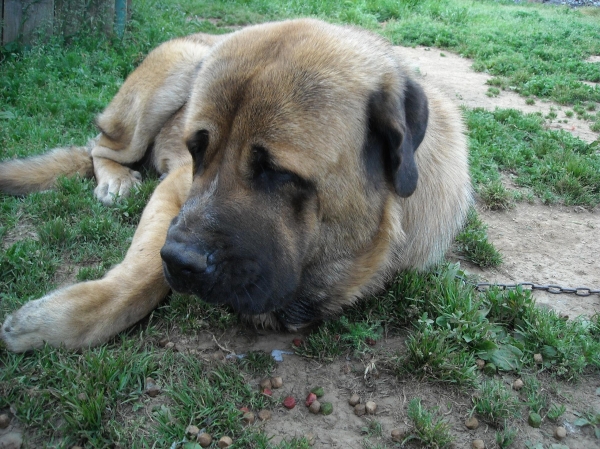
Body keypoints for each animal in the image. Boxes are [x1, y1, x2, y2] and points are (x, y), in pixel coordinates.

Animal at [0, 19, 472, 352]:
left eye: (276, 171)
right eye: (195, 149)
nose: (181, 260)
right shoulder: (176, 190)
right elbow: (141, 271)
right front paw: (65, 320)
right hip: (166, 81)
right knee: (101, 146)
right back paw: (116, 179)